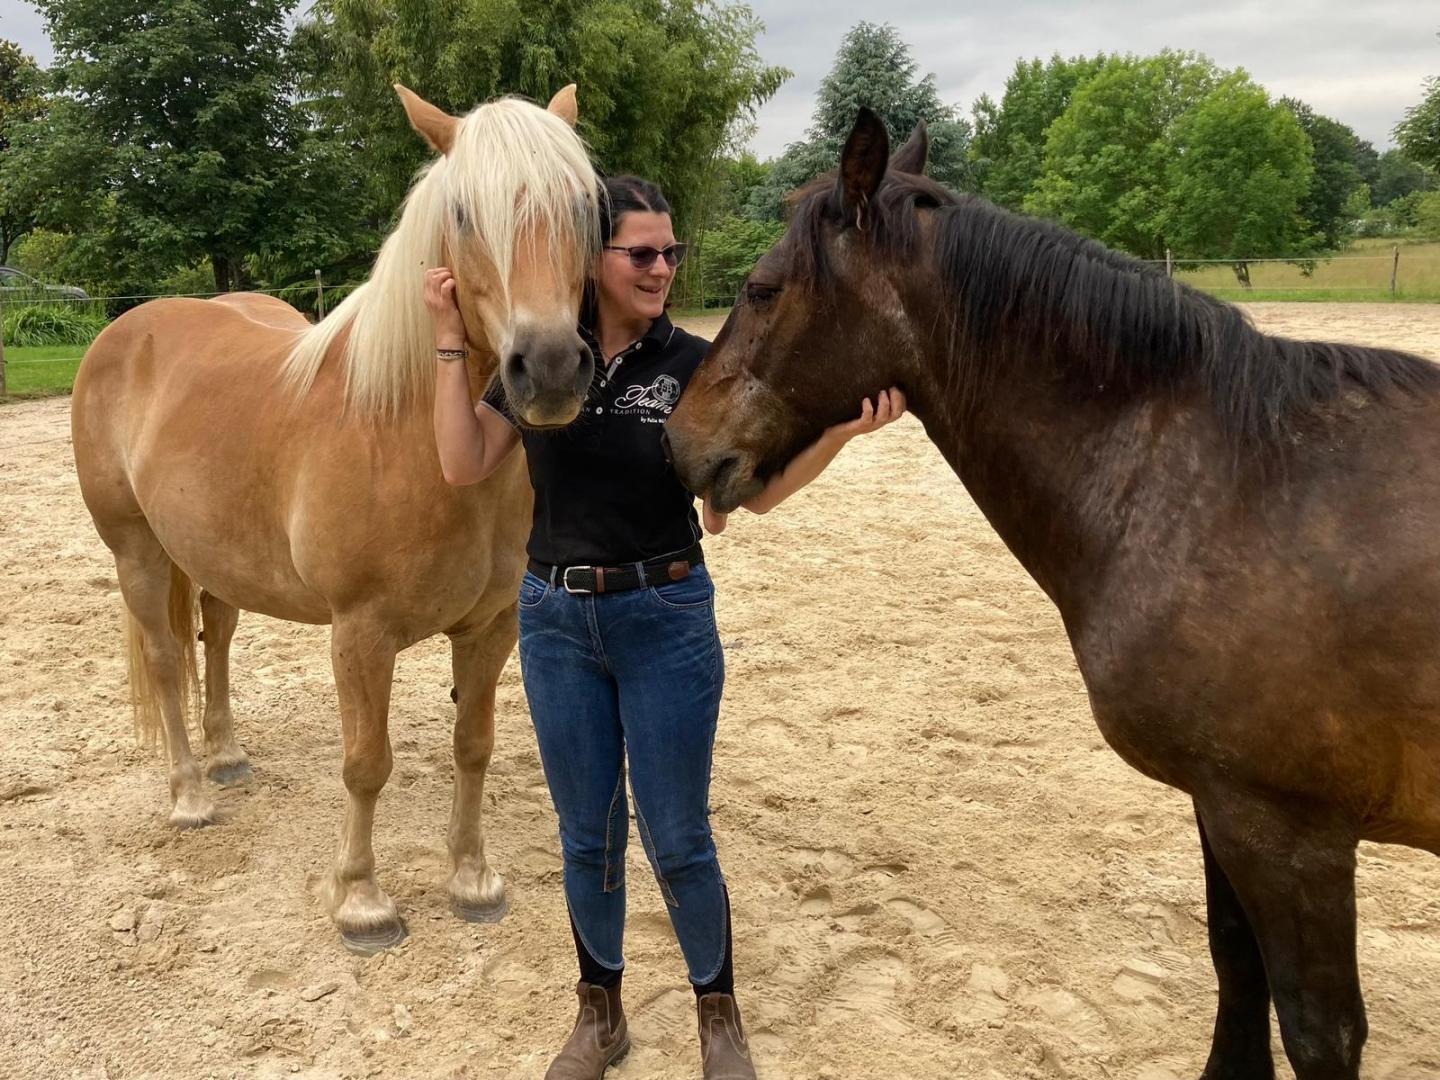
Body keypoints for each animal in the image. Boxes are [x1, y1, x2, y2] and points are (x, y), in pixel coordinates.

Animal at [70, 84, 599, 954]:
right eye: (463, 211)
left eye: (584, 204)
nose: (551, 369)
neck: (415, 435)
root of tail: (128, 327)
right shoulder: (360, 632)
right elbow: (366, 763)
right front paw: (362, 902)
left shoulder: (492, 626)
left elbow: (474, 745)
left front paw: (472, 881)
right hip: (136, 552)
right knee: (167, 660)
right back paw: (190, 795)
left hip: (215, 559)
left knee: (216, 637)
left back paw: (226, 755)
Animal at [665, 108, 1440, 1079]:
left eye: (763, 289)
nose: (678, 441)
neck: (1221, 480)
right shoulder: (1226, 807)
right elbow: (1234, 961)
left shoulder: (1292, 836)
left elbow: (1317, 1027)